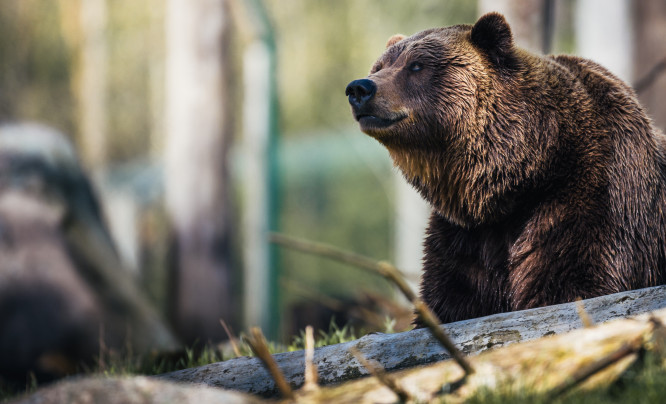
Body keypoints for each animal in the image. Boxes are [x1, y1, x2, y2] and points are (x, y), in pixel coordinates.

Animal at [344, 11, 664, 326]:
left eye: (416, 65)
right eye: (380, 65)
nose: (360, 88)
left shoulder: (591, 200)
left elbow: (571, 283)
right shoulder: (466, 238)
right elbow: (450, 299)